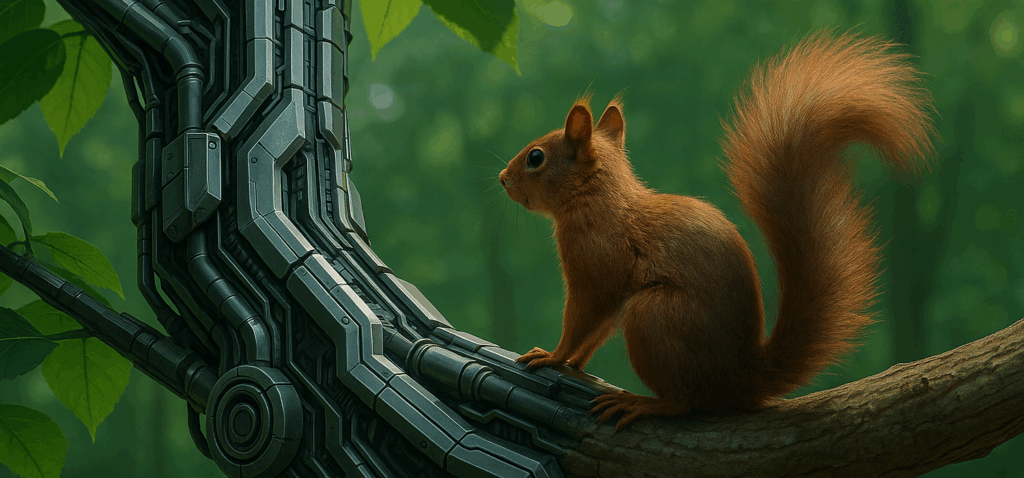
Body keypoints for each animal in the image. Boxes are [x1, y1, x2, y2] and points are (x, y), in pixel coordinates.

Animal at [498, 32, 935, 431]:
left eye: (535, 158)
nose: (502, 178)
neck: (596, 200)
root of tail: (741, 379)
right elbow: (593, 335)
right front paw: (572, 364)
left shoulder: (595, 267)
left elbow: (582, 321)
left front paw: (553, 356)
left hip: (654, 317)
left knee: (683, 402)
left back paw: (644, 404)